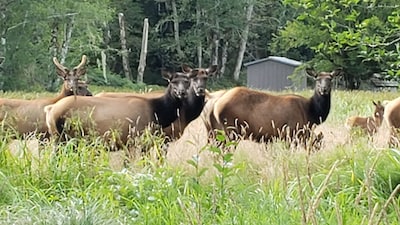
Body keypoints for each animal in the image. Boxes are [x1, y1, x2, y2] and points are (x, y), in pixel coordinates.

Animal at [44, 70, 196, 148]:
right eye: (173, 82)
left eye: (187, 82)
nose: (181, 92)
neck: (157, 113)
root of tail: (50, 110)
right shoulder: (136, 138)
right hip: (65, 137)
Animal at [203, 67, 340, 148]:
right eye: (317, 79)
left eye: (330, 79)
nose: (324, 89)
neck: (311, 114)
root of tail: (214, 101)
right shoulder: (291, 133)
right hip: (231, 130)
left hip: (212, 131)